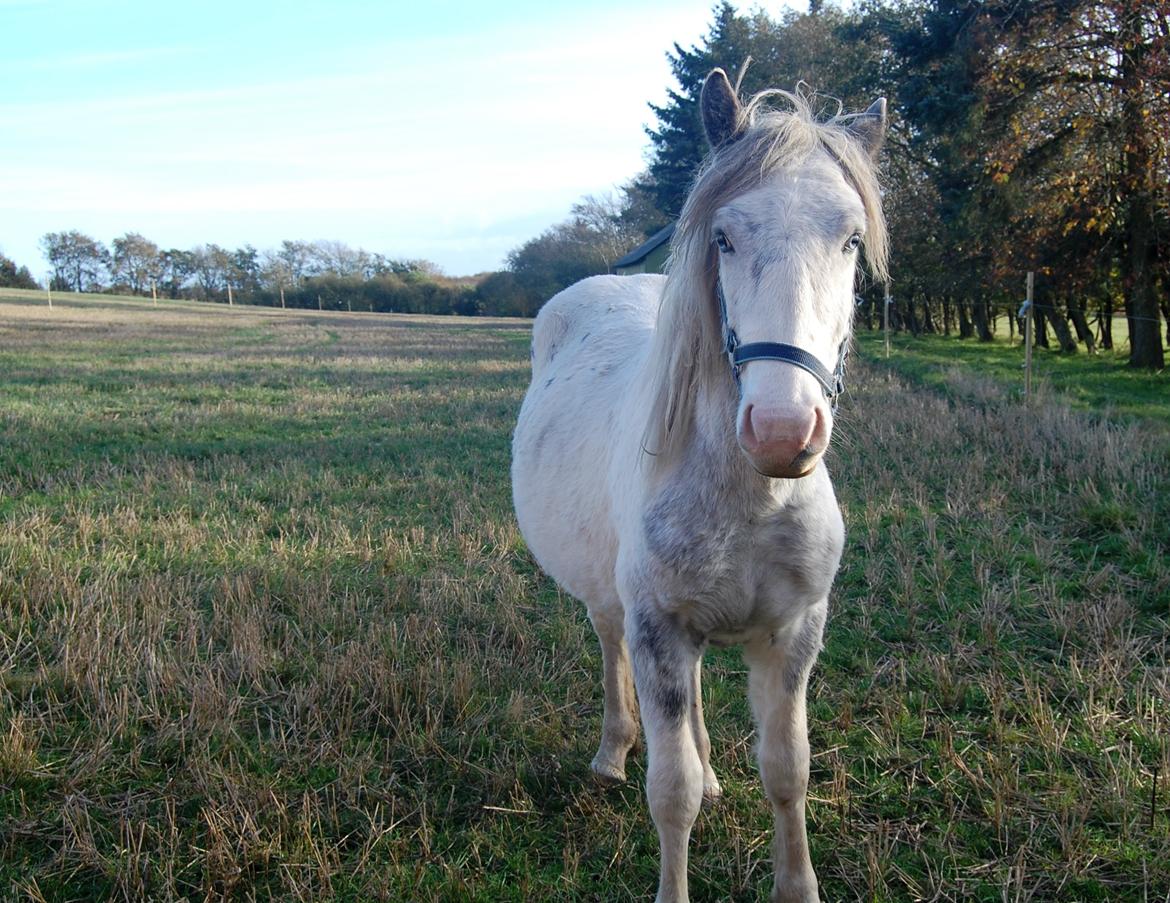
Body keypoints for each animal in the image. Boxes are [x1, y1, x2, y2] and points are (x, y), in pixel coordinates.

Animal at [512, 70, 884, 903]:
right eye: (725, 236)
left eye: (850, 238)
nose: (782, 429)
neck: (752, 499)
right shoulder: (659, 626)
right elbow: (669, 790)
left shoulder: (792, 633)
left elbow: (787, 771)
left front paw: (795, 882)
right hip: (616, 605)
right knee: (614, 656)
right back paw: (611, 753)